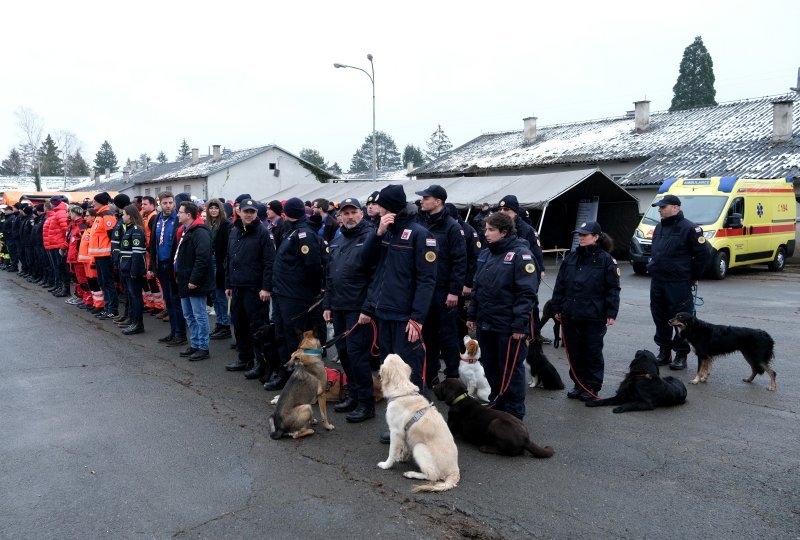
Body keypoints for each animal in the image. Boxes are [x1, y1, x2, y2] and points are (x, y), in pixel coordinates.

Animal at [378, 354, 460, 494]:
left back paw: (411, 474)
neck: (402, 390)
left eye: (385, 359)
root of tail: (454, 471)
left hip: (419, 447)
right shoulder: (404, 433)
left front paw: (386, 465)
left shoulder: (395, 432)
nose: (391, 353)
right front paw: (402, 457)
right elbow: (404, 447)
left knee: (433, 476)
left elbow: (391, 452)